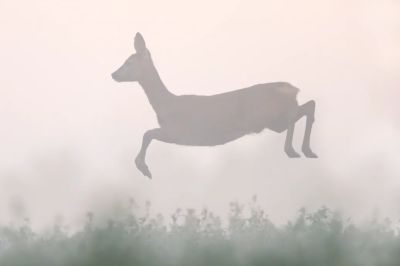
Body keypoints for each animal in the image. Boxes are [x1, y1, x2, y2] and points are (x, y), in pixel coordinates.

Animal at [111, 33, 318, 179]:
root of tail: (293, 88)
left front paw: (143, 168)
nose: (114, 74)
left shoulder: (179, 132)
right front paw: (142, 166)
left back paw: (292, 150)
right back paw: (307, 151)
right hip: (273, 122)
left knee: (298, 112)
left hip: (269, 115)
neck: (165, 105)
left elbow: (148, 133)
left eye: (129, 62)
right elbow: (148, 134)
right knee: (308, 106)